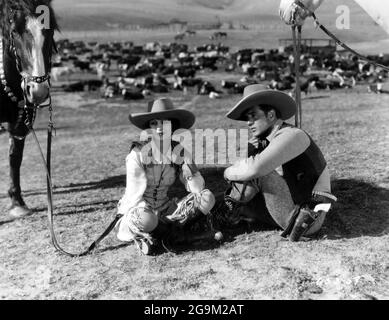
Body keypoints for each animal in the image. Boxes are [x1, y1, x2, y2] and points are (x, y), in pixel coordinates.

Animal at [0, 0, 58, 218]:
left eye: (50, 30)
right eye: (14, 31)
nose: (37, 91)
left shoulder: (19, 123)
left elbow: (15, 157)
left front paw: (17, 202)